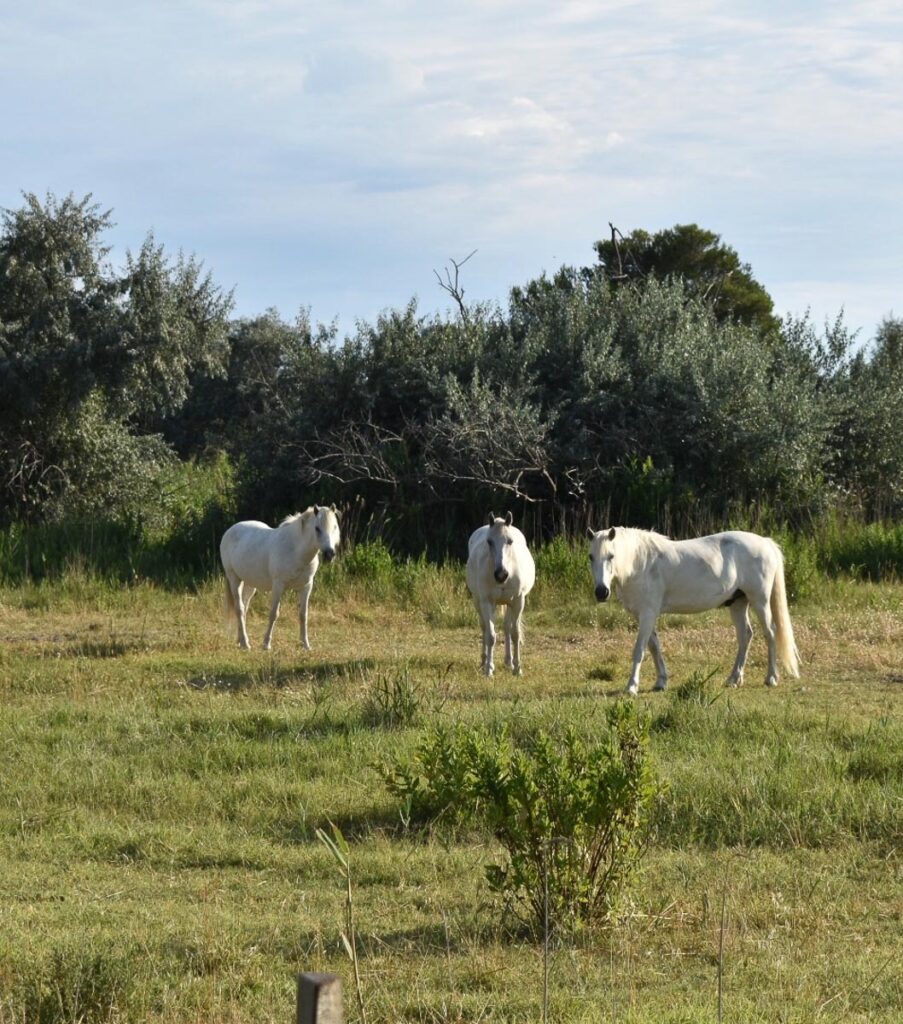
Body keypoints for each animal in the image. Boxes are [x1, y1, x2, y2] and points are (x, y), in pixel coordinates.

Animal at [220, 505, 341, 651]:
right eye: (317, 528)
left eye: (335, 526)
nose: (330, 554)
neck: (295, 550)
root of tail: (230, 530)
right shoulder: (278, 585)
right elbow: (274, 613)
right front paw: (266, 644)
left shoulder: (306, 586)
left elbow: (303, 615)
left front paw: (306, 645)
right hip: (234, 579)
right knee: (239, 609)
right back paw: (245, 643)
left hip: (250, 584)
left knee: (244, 607)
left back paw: (240, 641)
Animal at [466, 511, 536, 677]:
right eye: (489, 542)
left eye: (510, 541)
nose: (501, 575)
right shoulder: (487, 602)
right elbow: (491, 635)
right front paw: (489, 669)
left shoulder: (518, 601)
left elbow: (515, 633)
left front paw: (517, 668)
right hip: (478, 601)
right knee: (484, 627)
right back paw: (484, 661)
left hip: (509, 604)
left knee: (507, 628)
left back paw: (509, 662)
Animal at [587, 526, 800, 694]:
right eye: (591, 557)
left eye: (611, 555)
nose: (601, 592)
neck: (641, 563)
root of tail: (766, 542)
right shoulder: (646, 615)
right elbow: (654, 646)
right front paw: (661, 682)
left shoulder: (647, 613)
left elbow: (639, 649)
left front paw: (631, 687)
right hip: (738, 603)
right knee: (745, 635)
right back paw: (734, 679)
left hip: (759, 601)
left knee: (770, 633)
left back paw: (771, 678)